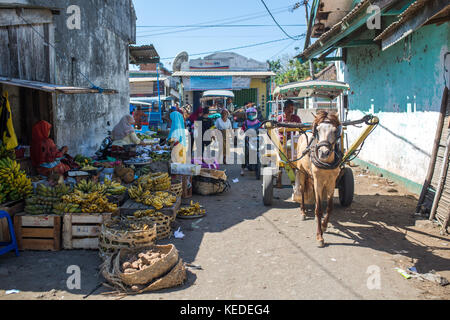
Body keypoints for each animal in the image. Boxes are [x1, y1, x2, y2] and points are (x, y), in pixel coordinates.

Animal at [294, 110, 342, 248]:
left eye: (335, 130)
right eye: (318, 130)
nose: (323, 153)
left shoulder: (331, 182)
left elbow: (329, 207)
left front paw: (324, 225)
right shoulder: (318, 181)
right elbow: (319, 209)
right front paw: (319, 237)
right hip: (302, 172)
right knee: (302, 190)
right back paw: (303, 212)